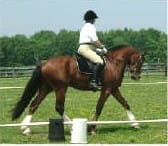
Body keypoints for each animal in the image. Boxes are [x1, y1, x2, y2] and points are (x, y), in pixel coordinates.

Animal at [11, 44, 144, 135]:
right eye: (140, 61)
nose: (136, 76)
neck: (113, 63)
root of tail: (44, 63)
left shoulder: (114, 89)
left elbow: (125, 104)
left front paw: (135, 124)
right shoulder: (107, 89)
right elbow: (99, 107)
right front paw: (92, 128)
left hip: (46, 88)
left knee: (34, 104)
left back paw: (25, 129)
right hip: (60, 88)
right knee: (59, 107)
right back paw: (72, 127)